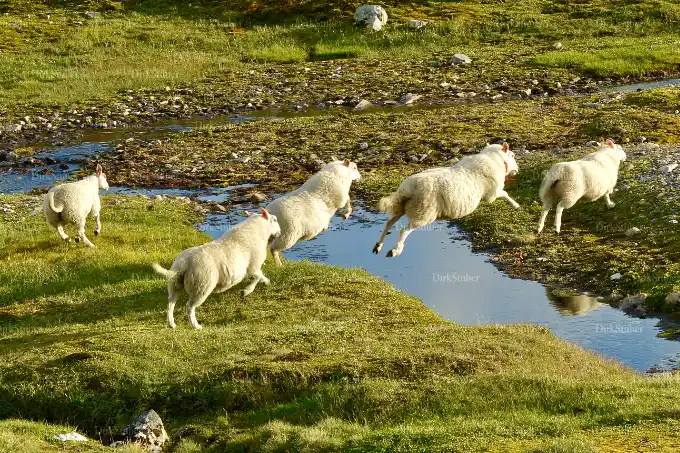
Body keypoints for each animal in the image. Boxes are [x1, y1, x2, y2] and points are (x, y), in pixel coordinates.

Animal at [151, 208, 281, 329]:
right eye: (274, 219)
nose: (279, 233)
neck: (257, 230)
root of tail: (184, 264)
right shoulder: (252, 266)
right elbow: (257, 277)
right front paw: (246, 291)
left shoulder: (254, 267)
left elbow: (261, 276)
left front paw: (267, 282)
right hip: (201, 285)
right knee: (189, 306)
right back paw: (195, 325)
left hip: (175, 284)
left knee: (171, 302)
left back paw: (171, 323)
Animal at [373, 143, 519, 257]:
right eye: (512, 155)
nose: (517, 170)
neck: (495, 160)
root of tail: (409, 187)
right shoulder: (492, 193)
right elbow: (505, 193)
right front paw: (516, 205)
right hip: (423, 212)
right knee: (404, 230)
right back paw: (395, 250)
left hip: (401, 206)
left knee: (388, 224)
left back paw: (378, 246)